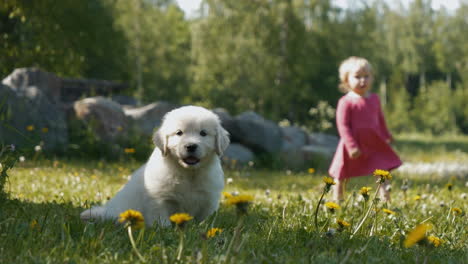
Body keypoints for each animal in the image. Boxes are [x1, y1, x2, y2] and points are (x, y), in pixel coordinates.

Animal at [82, 105, 232, 227]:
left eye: (203, 133)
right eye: (179, 133)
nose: (191, 146)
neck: (188, 173)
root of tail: (107, 210)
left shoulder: (209, 199)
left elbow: (204, 219)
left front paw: (201, 228)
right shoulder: (159, 198)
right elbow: (162, 220)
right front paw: (165, 230)